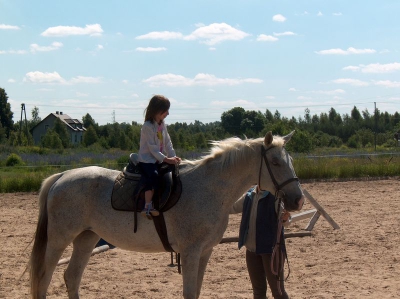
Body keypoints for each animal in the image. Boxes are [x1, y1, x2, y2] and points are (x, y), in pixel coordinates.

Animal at [29, 132, 304, 299]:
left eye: (289, 160)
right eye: (276, 162)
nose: (298, 200)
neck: (209, 188)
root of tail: (62, 176)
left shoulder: (205, 252)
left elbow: (197, 291)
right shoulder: (191, 252)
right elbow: (189, 292)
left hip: (87, 239)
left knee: (71, 277)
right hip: (59, 240)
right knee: (44, 278)